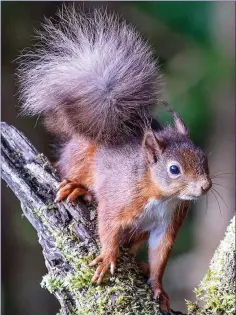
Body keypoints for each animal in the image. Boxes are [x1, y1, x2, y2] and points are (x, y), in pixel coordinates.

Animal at [17, 6, 211, 314]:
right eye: (174, 169)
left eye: (204, 158)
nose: (205, 186)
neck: (161, 196)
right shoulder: (119, 200)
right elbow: (107, 227)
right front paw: (108, 258)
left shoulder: (168, 223)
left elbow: (160, 255)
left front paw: (159, 288)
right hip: (80, 160)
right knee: (70, 171)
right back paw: (77, 187)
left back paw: (140, 266)